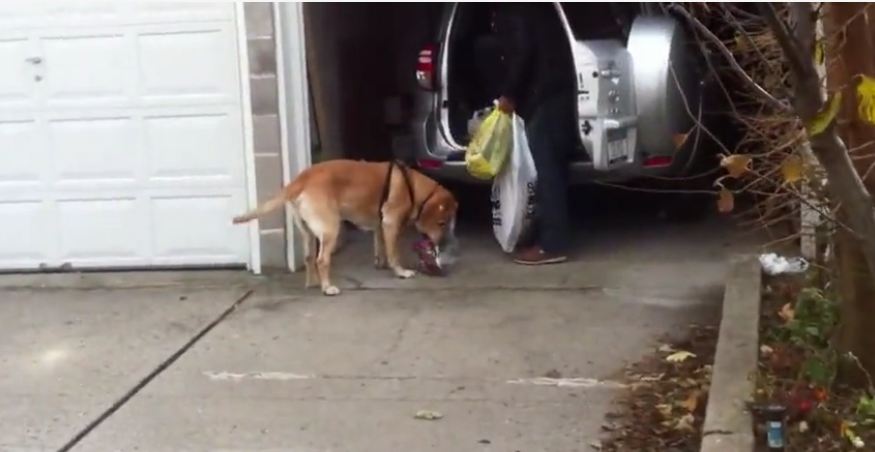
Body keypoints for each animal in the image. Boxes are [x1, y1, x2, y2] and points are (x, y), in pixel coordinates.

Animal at [236, 160, 462, 296]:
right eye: (441, 223)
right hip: (330, 228)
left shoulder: (380, 225)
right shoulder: (391, 223)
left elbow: (380, 247)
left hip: (307, 231)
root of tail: (301, 179)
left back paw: (313, 283)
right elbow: (393, 253)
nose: (440, 244)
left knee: (309, 257)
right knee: (321, 259)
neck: (412, 186)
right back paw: (327, 287)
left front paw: (380, 263)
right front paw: (400, 271)